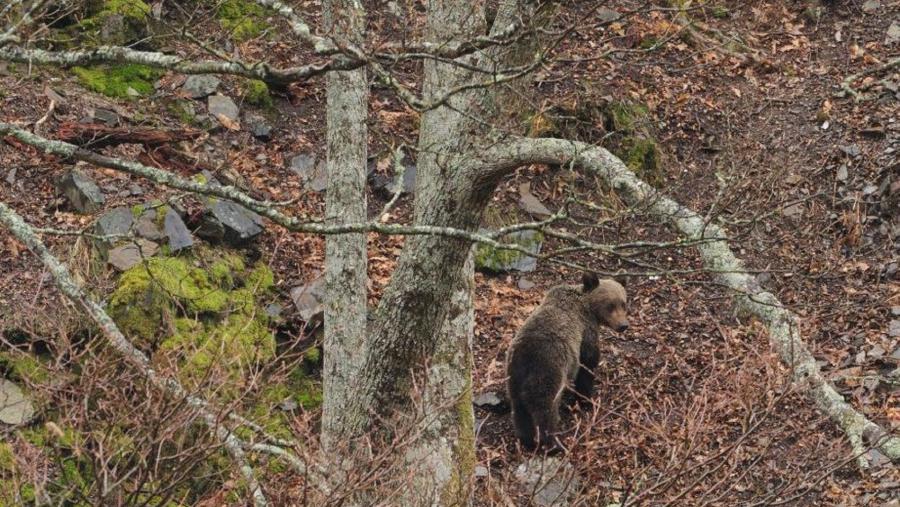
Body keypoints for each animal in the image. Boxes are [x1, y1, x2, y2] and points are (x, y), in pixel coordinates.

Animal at [506, 272, 629, 450]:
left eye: (623, 303)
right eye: (610, 305)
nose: (623, 325)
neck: (587, 308)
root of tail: (526, 355)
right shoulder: (585, 333)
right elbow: (587, 364)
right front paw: (585, 400)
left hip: (514, 375)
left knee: (519, 408)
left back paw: (527, 440)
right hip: (548, 369)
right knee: (545, 409)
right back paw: (553, 444)